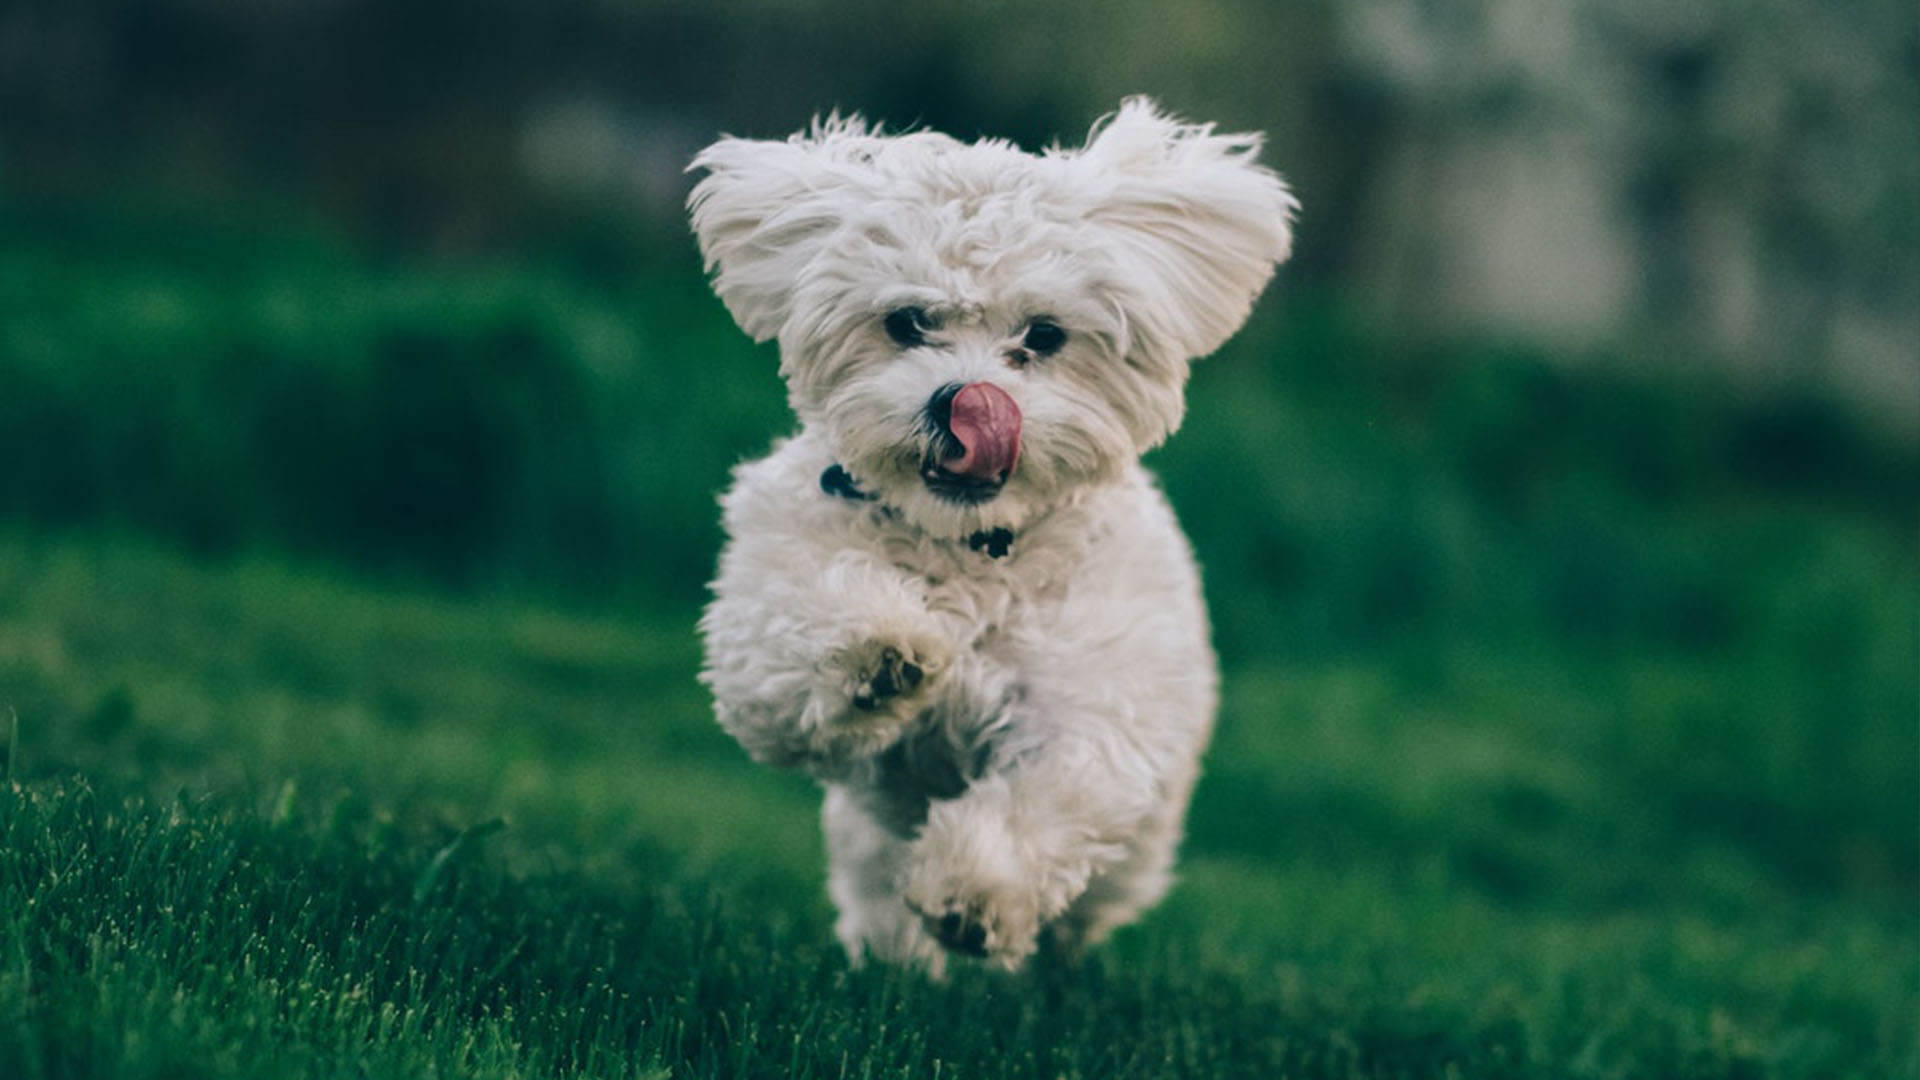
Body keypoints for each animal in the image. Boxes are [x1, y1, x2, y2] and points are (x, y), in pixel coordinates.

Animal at [683, 100, 1297, 972]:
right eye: (907, 323)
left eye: (1043, 337)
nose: (963, 402)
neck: (969, 546)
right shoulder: (762, 622)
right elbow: (796, 639)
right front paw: (885, 650)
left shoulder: (1090, 707)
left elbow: (1043, 800)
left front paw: (973, 896)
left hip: (1134, 853)